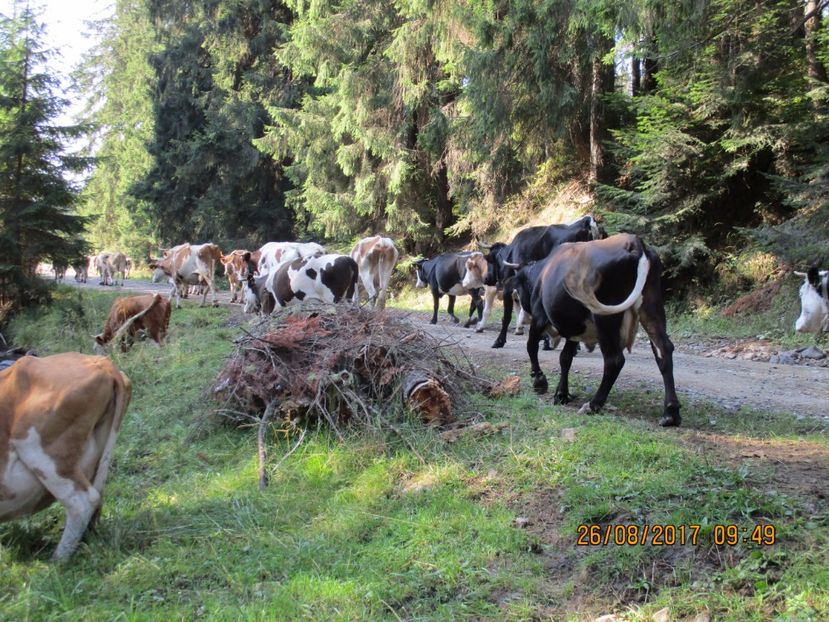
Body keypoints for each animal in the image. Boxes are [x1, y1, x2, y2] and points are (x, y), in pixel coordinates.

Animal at [472, 217, 600, 348]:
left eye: (490, 260)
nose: (486, 279)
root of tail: (586, 221)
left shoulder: (509, 287)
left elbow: (507, 316)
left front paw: (499, 341)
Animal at [524, 234, 680, 428]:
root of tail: (633, 242)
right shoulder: (575, 330)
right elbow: (565, 358)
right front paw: (561, 394)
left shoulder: (539, 315)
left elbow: (531, 345)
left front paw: (539, 380)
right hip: (652, 307)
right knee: (663, 349)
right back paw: (670, 413)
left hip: (606, 317)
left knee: (614, 360)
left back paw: (593, 405)